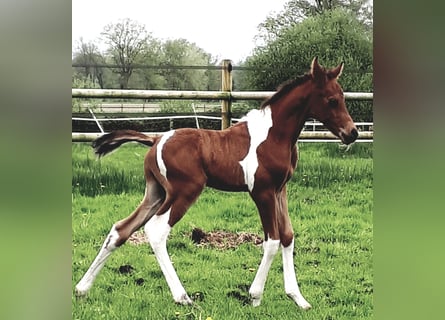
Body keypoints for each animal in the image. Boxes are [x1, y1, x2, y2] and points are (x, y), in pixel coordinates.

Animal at [73, 58, 358, 310]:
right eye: (331, 100)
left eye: (343, 97)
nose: (352, 133)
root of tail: (155, 139)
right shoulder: (262, 192)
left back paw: (82, 289)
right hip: (184, 192)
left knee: (121, 230)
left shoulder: (280, 190)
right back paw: (183, 297)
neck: (274, 136)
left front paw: (298, 298)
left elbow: (288, 236)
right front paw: (254, 296)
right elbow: (272, 241)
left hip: (155, 193)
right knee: (156, 230)